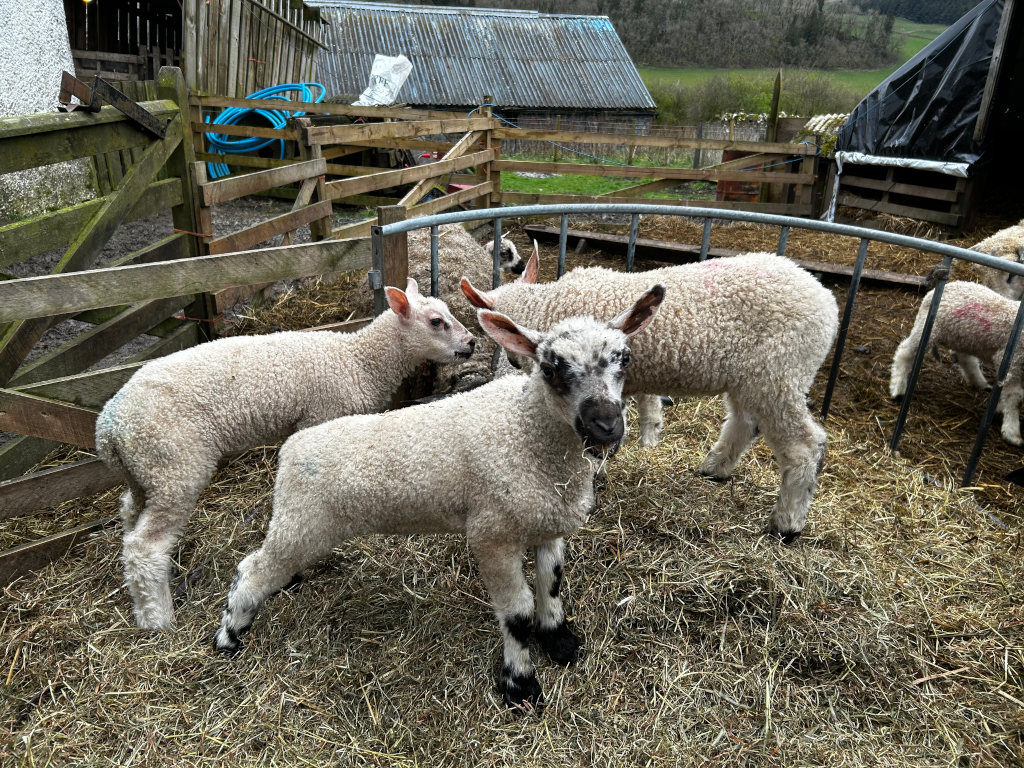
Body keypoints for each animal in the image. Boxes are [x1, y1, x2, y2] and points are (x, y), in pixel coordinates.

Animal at [95, 280, 475, 631]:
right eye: (437, 322)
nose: (472, 342)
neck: (357, 361)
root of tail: (108, 428)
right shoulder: (321, 417)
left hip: (145, 471)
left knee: (130, 517)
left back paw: (148, 595)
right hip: (175, 465)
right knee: (144, 546)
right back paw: (158, 620)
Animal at [213, 285, 666, 711]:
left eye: (625, 359)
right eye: (551, 368)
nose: (607, 426)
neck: (526, 432)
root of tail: (290, 451)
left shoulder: (548, 523)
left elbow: (551, 585)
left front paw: (559, 642)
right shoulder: (492, 534)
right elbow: (517, 613)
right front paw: (520, 685)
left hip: (300, 524)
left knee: (257, 564)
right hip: (304, 523)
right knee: (252, 570)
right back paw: (229, 636)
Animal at [460, 250, 840, 540]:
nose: (512, 361)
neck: (544, 307)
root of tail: (827, 301)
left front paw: (599, 477)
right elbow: (643, 412)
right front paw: (643, 442)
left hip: (779, 372)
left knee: (804, 445)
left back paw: (787, 524)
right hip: (752, 378)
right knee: (744, 423)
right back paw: (714, 469)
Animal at [889, 280, 1024, 445]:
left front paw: (998, 410)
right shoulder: (1013, 361)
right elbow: (1015, 398)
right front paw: (1012, 433)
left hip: (965, 337)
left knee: (965, 359)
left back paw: (979, 382)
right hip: (927, 329)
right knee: (905, 352)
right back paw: (898, 388)